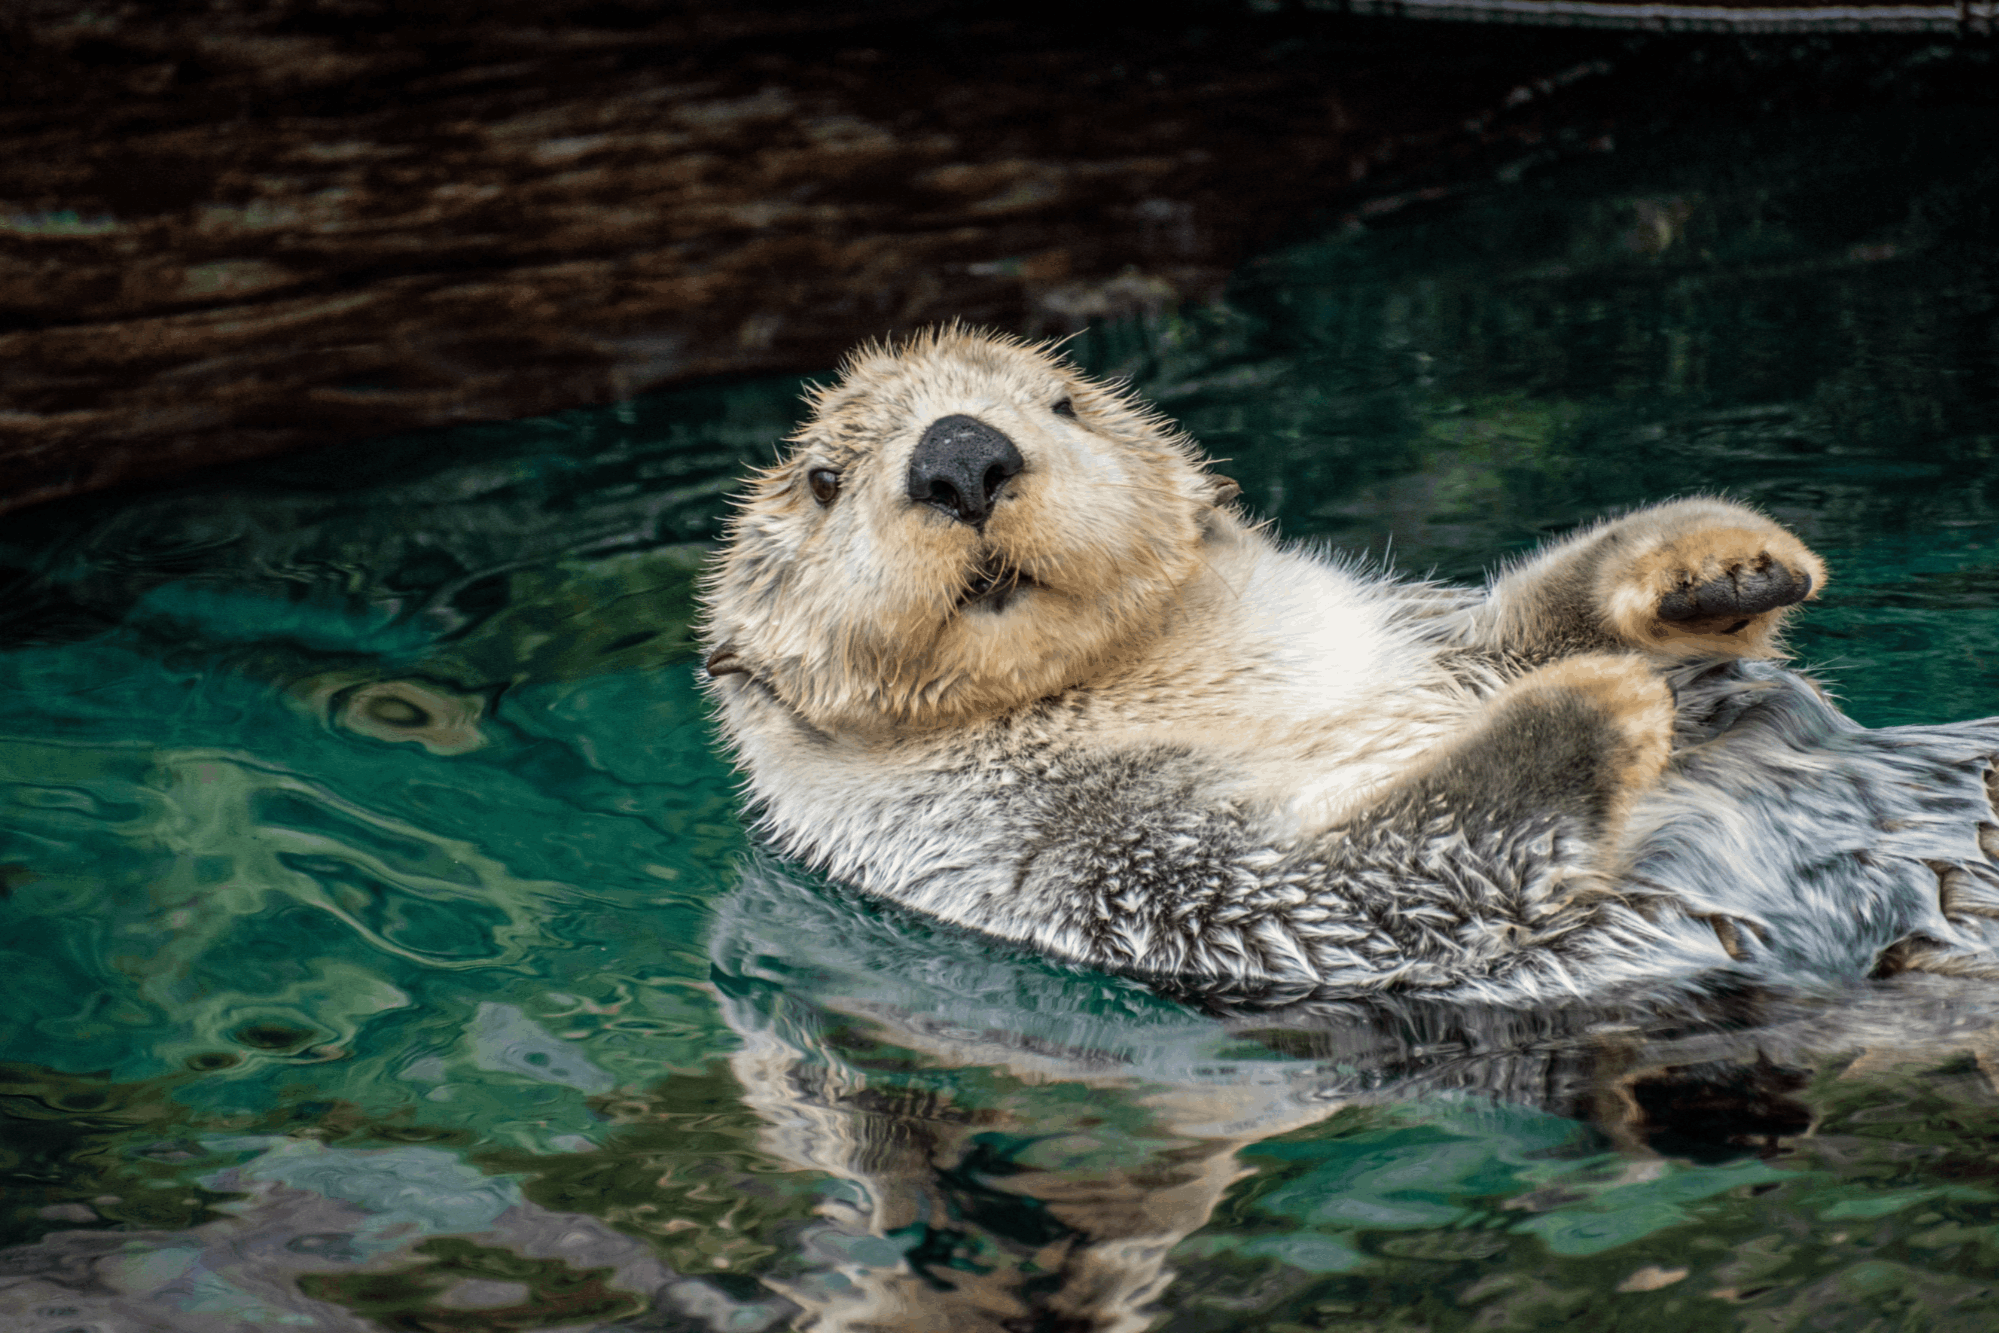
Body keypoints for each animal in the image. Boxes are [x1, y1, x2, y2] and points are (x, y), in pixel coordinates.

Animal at [699, 327, 1999, 1007]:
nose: (962, 453)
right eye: (823, 478)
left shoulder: (1428, 645)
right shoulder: (1095, 863)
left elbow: (1526, 619)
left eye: (1061, 402)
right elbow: (1365, 882)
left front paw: (1714, 562)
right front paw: (1597, 699)